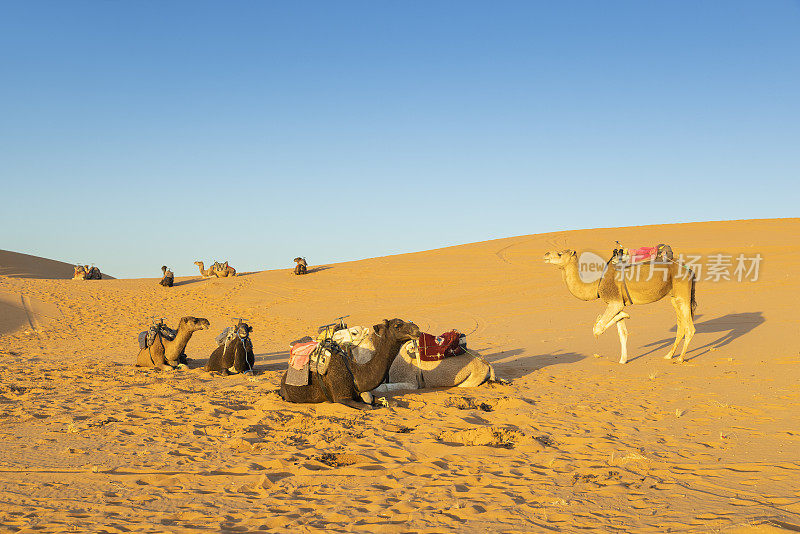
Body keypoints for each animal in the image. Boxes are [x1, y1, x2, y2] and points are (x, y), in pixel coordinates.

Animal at [540, 250, 696, 364]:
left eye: (560, 253)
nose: (546, 254)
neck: (597, 285)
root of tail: (690, 271)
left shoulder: (615, 302)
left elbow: (598, 329)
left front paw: (618, 316)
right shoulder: (617, 303)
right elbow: (622, 334)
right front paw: (622, 360)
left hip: (682, 294)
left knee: (690, 328)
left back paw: (680, 358)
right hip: (674, 297)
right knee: (681, 326)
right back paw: (668, 356)